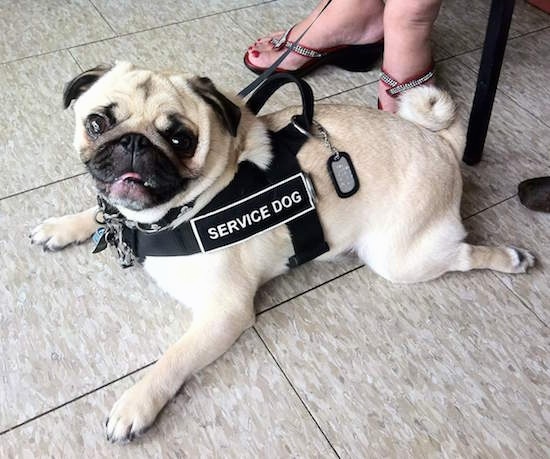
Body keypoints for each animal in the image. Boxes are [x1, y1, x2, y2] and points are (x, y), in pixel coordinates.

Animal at [30, 63, 536, 444]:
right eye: (98, 123)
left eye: (180, 139)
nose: (133, 142)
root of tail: (441, 143)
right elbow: (98, 212)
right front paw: (63, 226)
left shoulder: (224, 313)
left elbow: (172, 358)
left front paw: (136, 403)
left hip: (400, 257)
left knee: (463, 255)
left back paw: (512, 258)